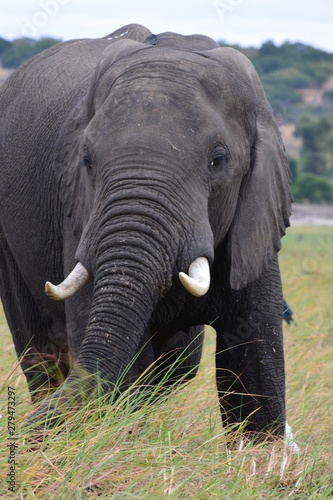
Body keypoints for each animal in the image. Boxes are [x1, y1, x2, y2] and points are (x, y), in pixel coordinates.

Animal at [0, 25, 290, 436]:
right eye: (87, 160)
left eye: (218, 161)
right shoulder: (78, 212)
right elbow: (126, 372)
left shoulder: (255, 218)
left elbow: (255, 365)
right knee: (42, 356)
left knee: (179, 361)